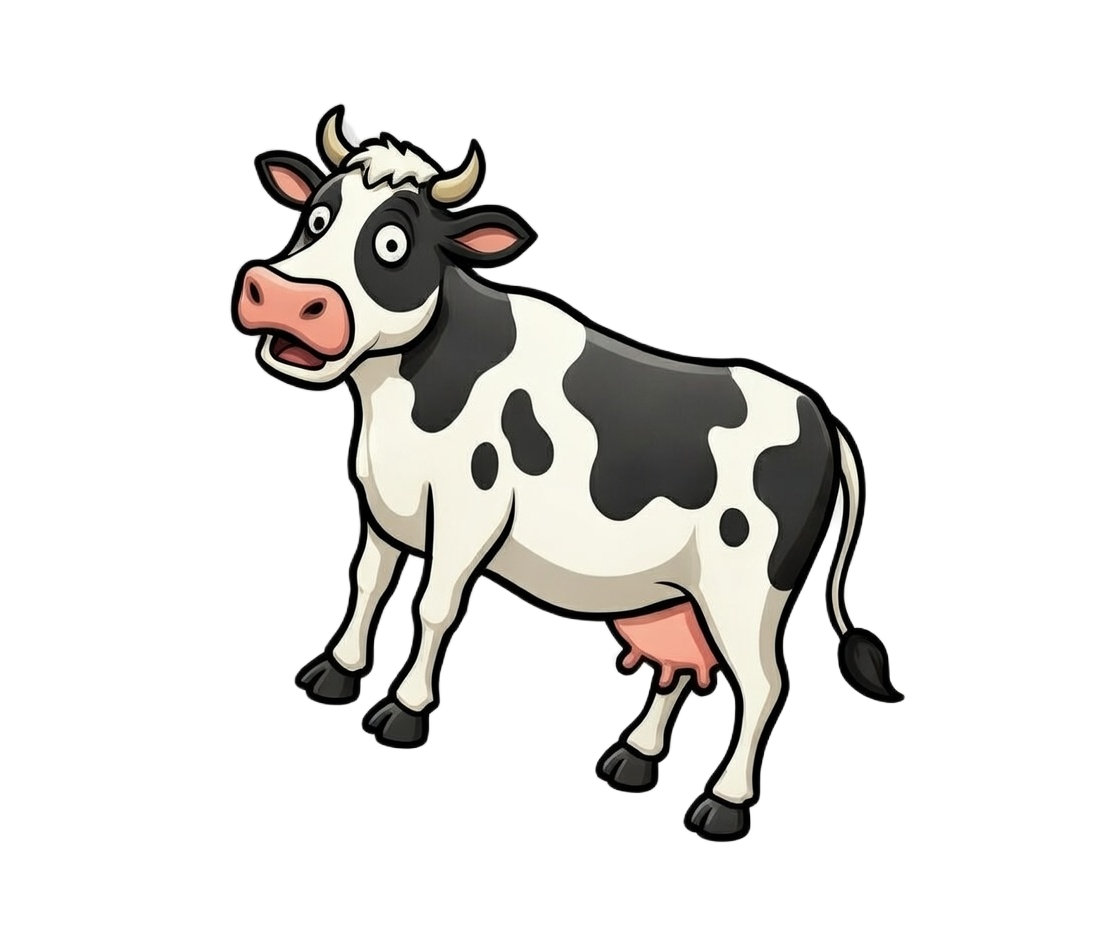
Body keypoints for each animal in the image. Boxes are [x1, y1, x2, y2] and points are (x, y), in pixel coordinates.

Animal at [229, 103, 907, 844]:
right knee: (682, 665)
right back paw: (632, 761)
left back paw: (722, 806)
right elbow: (367, 582)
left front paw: (404, 712)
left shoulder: (469, 510)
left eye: (391, 243)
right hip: (681, 592)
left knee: (763, 685)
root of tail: (820, 414)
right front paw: (334, 673)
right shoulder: (383, 502)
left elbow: (433, 606)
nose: (283, 297)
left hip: (749, 588)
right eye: (315, 216)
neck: (395, 400)